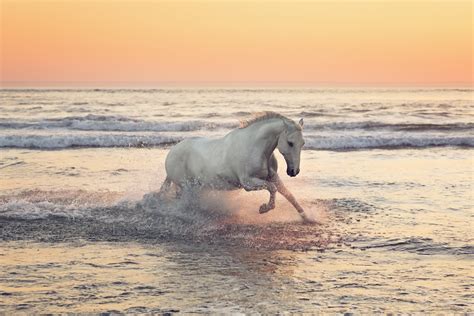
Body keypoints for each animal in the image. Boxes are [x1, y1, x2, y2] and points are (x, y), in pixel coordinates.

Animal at [160, 111, 314, 222]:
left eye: (303, 143)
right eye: (290, 143)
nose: (294, 171)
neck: (255, 147)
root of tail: (171, 152)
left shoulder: (273, 177)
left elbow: (289, 195)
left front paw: (307, 218)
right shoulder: (248, 183)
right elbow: (272, 189)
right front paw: (264, 208)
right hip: (187, 186)